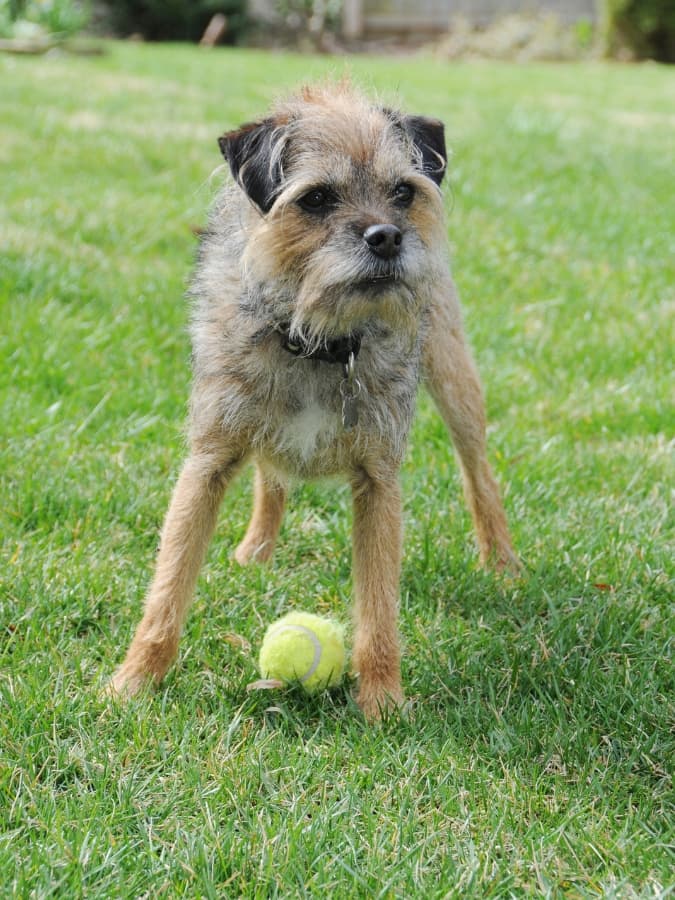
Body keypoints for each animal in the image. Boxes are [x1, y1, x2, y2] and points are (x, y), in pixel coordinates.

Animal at [109, 81, 516, 720]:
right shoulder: (207, 461)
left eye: (403, 192)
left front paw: (382, 702)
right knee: (269, 475)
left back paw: (500, 561)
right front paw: (133, 682)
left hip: (455, 378)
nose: (386, 236)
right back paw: (256, 549)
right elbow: (168, 588)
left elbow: (378, 608)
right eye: (318, 199)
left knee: (478, 472)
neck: (318, 339)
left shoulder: (379, 481)